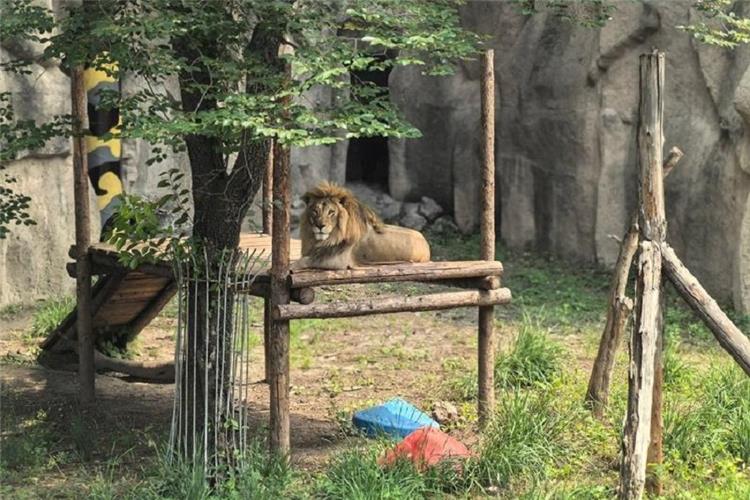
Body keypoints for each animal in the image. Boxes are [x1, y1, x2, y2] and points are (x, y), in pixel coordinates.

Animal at [292, 182, 431, 270]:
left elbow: (305, 260)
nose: (320, 225)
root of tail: (427, 244)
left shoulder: (339, 261)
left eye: (331, 212)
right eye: (315, 211)